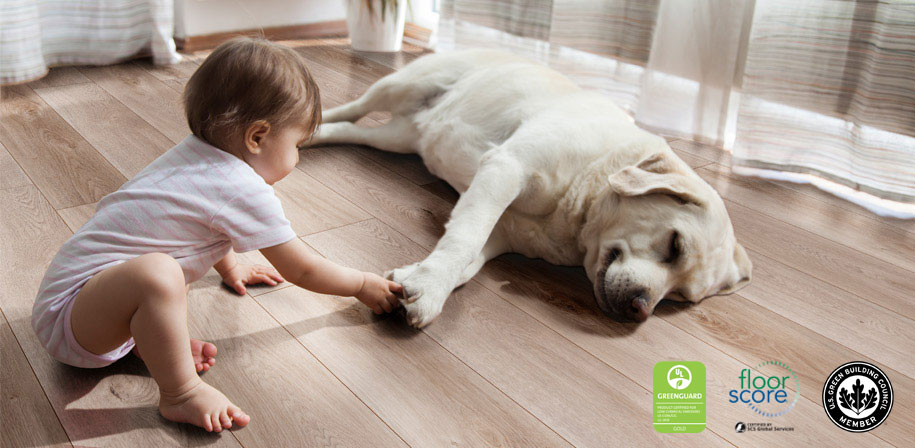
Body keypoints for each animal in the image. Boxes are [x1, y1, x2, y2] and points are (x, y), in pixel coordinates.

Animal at [308, 50, 752, 328]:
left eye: (681, 298)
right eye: (675, 245)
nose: (639, 311)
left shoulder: (501, 234)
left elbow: (467, 261)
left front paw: (417, 281)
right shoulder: (506, 169)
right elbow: (464, 241)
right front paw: (430, 289)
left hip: (399, 139)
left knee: (351, 129)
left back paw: (314, 138)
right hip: (404, 85)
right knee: (351, 108)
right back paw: (303, 127)